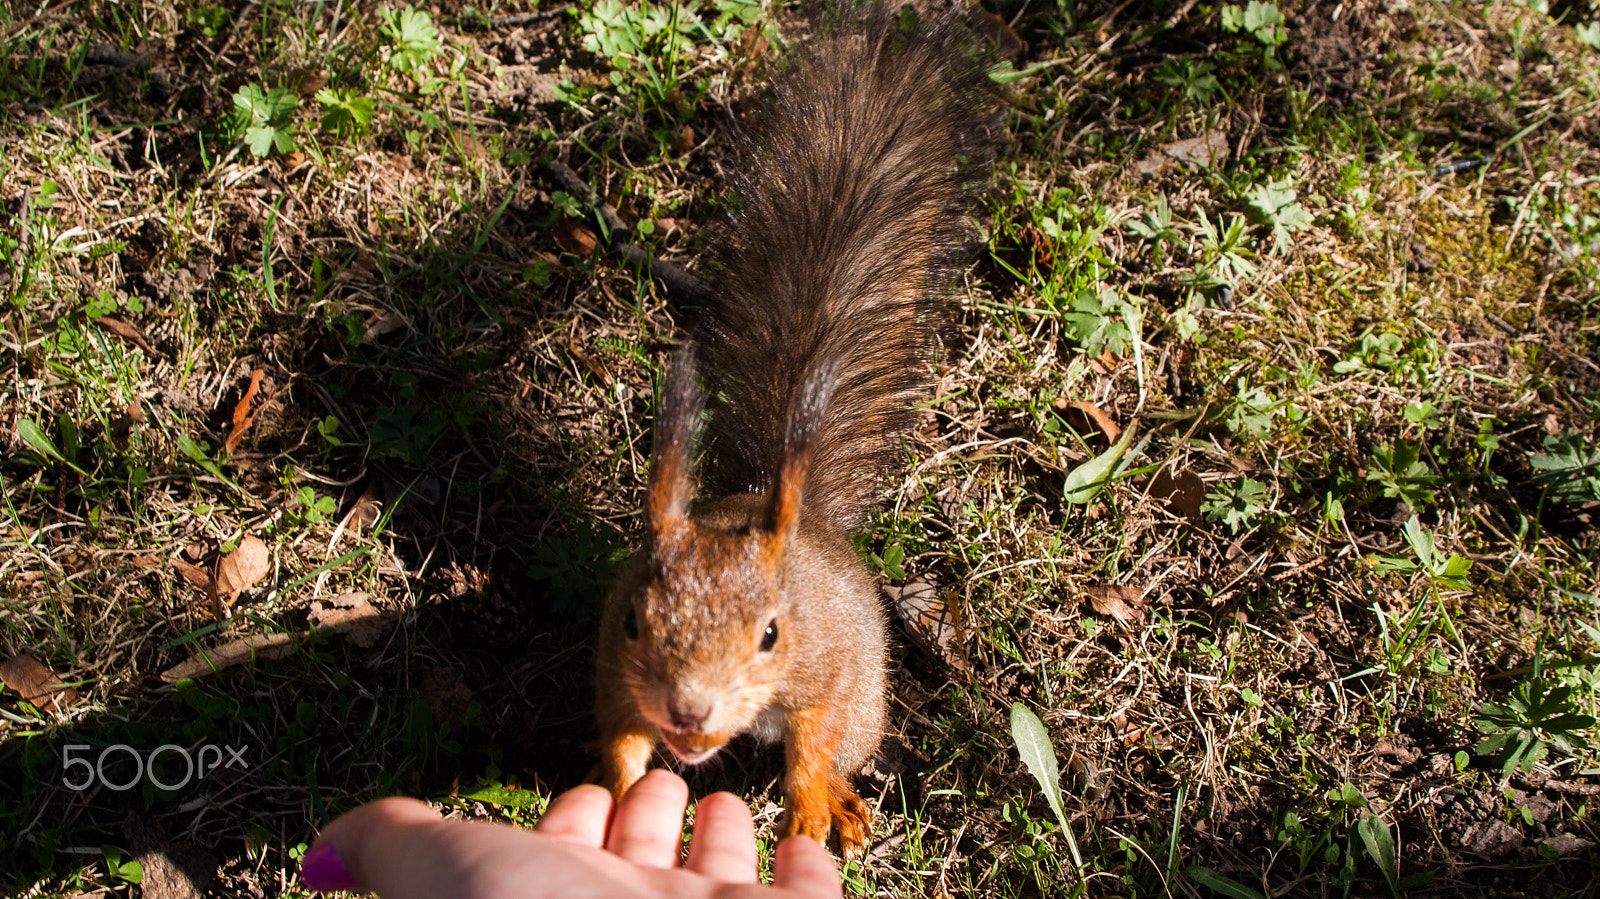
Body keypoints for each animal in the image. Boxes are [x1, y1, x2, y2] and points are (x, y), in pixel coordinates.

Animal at [598, 0, 992, 851]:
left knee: (846, 742)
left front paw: (810, 802)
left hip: (870, 700)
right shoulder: (615, 666)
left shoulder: (824, 670)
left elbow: (813, 737)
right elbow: (620, 731)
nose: (689, 712)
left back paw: (841, 796)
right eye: (637, 622)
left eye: (772, 634)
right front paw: (617, 789)